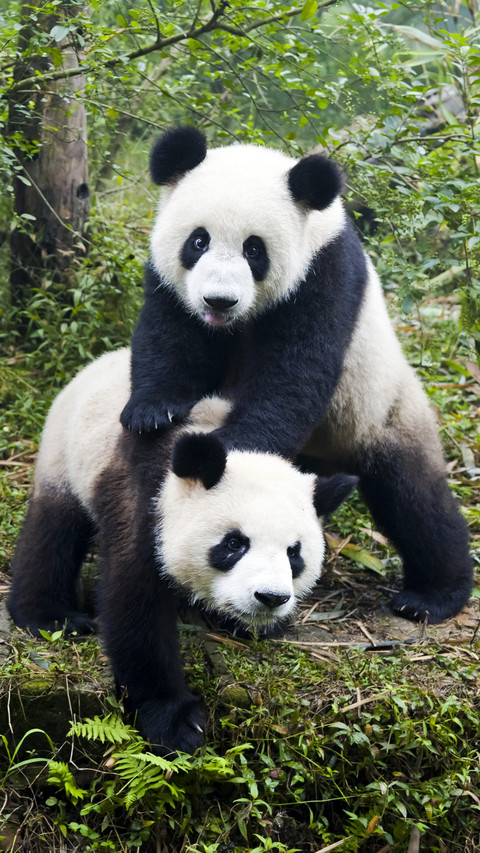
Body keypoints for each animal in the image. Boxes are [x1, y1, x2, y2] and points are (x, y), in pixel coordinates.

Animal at [8, 348, 356, 754]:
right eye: (234, 543)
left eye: (294, 554)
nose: (270, 598)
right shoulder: (146, 503)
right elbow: (137, 607)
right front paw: (174, 722)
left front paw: (256, 624)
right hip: (66, 451)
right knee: (54, 531)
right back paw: (49, 615)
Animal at [120, 126, 473, 626]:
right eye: (198, 241)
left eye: (254, 249)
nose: (218, 300)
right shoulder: (170, 280)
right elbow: (168, 336)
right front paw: (153, 412)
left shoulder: (324, 275)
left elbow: (292, 377)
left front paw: (232, 450)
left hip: (379, 407)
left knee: (415, 498)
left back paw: (434, 594)